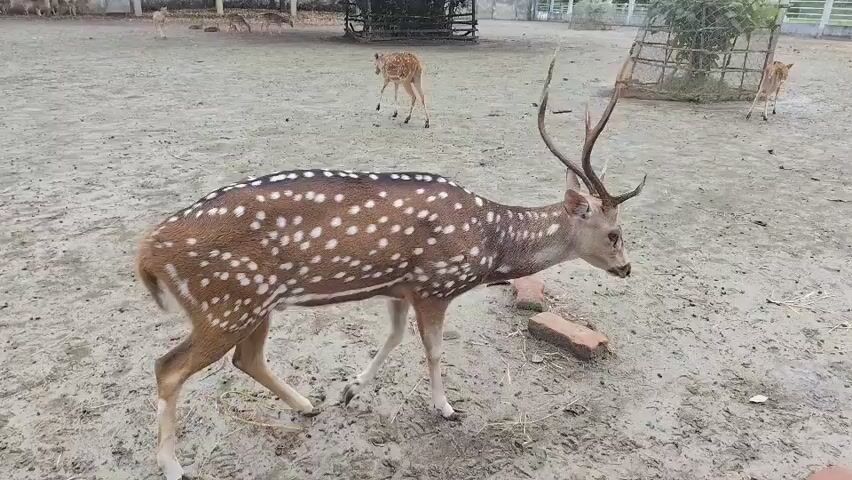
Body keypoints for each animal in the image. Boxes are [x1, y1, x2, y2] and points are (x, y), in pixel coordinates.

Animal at [136, 52, 645, 480]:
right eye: (614, 233)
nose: (626, 269)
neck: (487, 243)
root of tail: (148, 251)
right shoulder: (436, 284)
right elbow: (433, 350)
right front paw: (445, 407)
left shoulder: (400, 287)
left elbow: (394, 337)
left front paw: (349, 389)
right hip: (227, 302)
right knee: (168, 367)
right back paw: (172, 465)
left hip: (253, 305)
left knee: (246, 359)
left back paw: (308, 404)